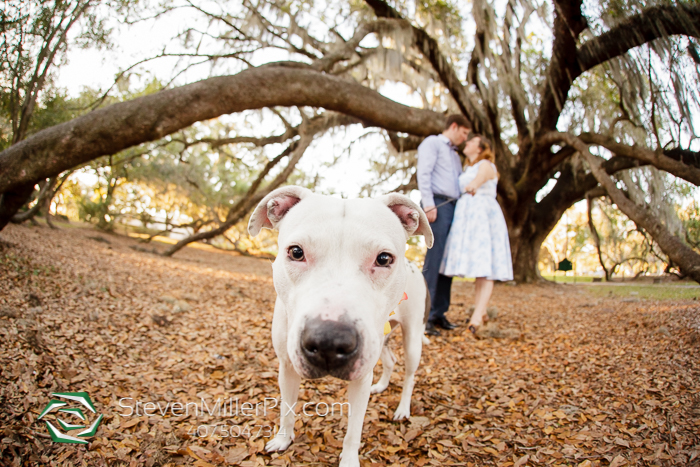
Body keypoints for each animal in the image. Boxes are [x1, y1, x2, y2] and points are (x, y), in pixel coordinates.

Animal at [246, 186, 432, 467]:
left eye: (384, 258)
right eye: (296, 252)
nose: (329, 342)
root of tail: (413, 265)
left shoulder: (361, 378)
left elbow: (354, 430)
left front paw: (349, 459)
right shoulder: (287, 367)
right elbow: (287, 408)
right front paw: (283, 439)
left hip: (412, 339)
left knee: (410, 375)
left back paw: (402, 408)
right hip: (381, 336)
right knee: (390, 360)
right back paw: (382, 386)